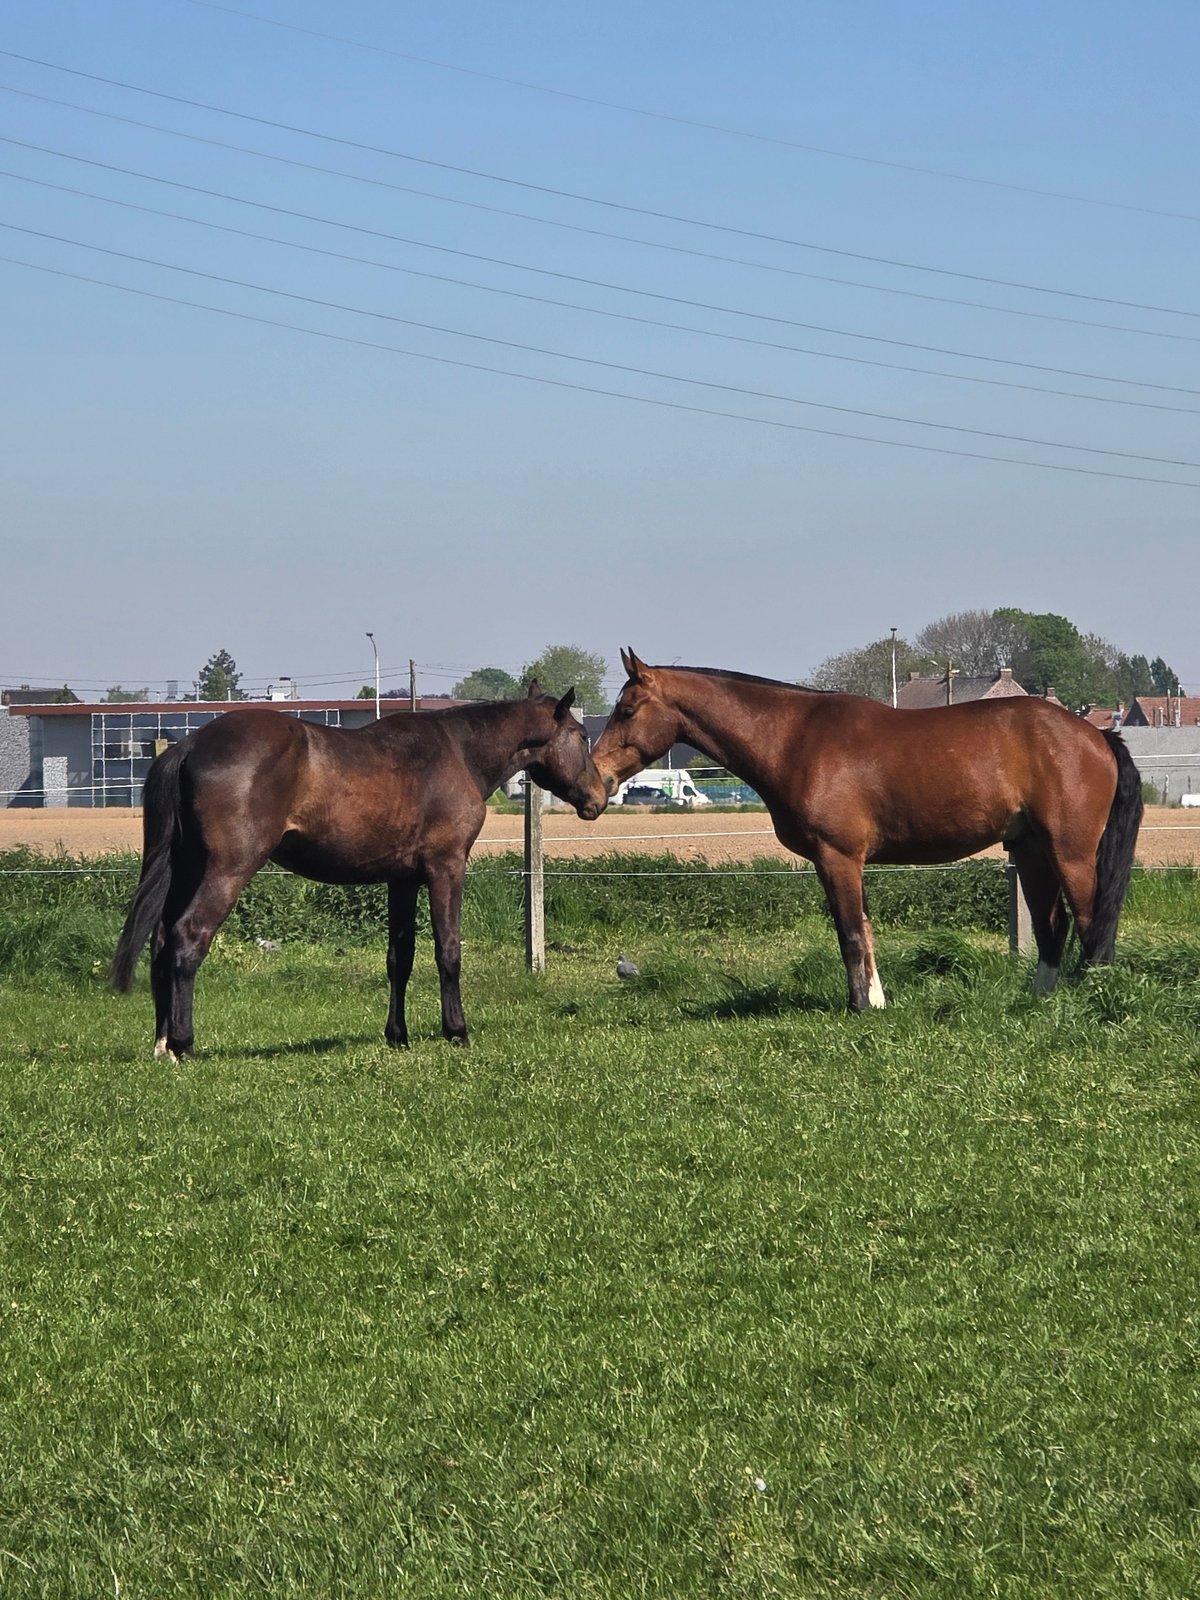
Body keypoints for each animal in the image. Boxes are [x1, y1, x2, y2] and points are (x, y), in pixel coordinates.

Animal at [111, 684, 607, 1057]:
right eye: (582, 735)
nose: (600, 797)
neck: (458, 752)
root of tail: (189, 744)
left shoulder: (402, 880)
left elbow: (399, 958)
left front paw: (398, 1036)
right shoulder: (446, 867)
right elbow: (448, 951)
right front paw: (457, 1030)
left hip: (187, 868)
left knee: (161, 939)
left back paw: (161, 1042)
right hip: (227, 869)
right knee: (188, 936)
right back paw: (182, 1042)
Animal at [591, 650, 1143, 1012]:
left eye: (627, 710)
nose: (597, 783)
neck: (795, 739)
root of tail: (1095, 734)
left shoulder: (838, 857)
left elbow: (851, 935)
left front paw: (859, 1006)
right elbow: (864, 930)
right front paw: (877, 1001)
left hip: (1070, 853)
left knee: (1092, 922)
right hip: (1031, 852)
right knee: (1054, 927)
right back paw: (1037, 1002)